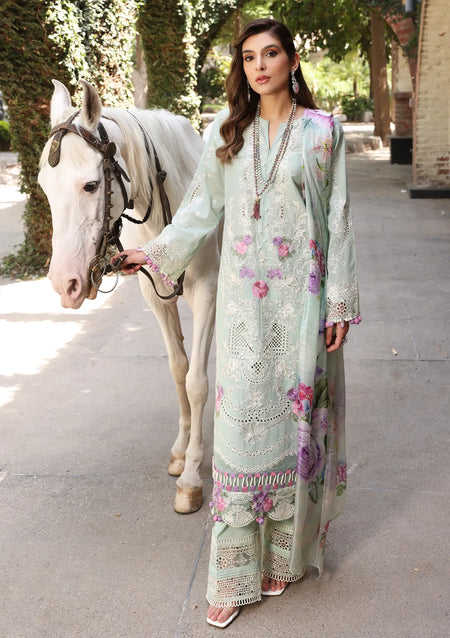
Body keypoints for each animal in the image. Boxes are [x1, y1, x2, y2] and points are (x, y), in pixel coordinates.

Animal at [38, 80, 222, 514]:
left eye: (90, 185)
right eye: (44, 188)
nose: (65, 283)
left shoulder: (206, 290)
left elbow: (197, 382)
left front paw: (192, 476)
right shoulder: (155, 296)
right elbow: (178, 368)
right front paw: (181, 451)